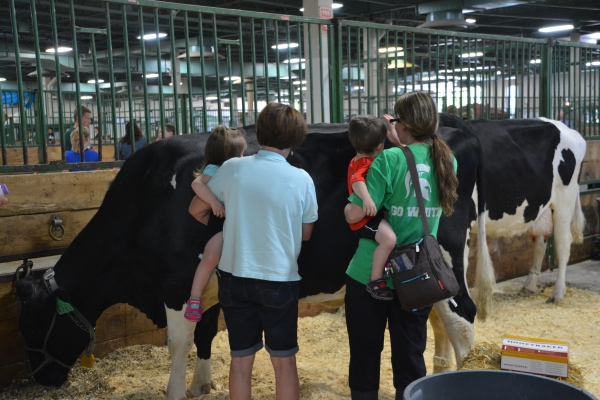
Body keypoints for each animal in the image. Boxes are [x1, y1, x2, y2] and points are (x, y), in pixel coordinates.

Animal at [15, 115, 496, 396]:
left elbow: (178, 342)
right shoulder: (207, 279)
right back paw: (438, 372)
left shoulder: (174, 283)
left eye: (31, 325)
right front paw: (203, 384)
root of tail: (455, 129)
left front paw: (176, 390)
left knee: (463, 317)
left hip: (444, 253)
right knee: (437, 319)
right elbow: (206, 333)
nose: (42, 379)